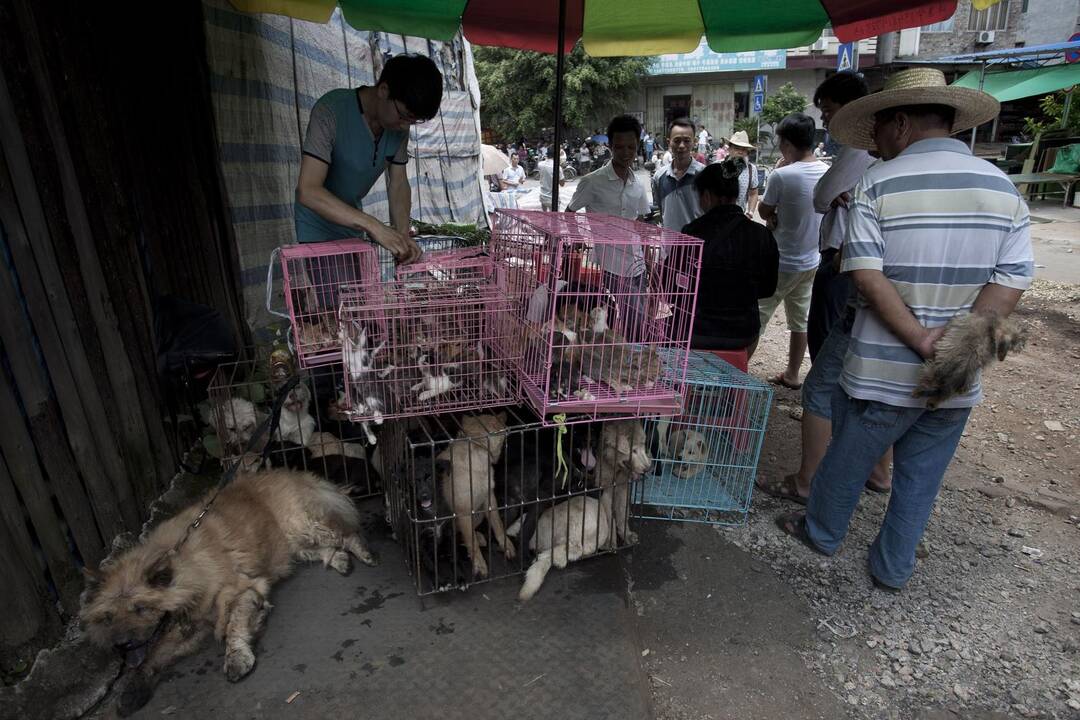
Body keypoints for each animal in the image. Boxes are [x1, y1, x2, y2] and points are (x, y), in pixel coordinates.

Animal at [79, 468, 375, 716]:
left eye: (141, 608)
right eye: (108, 617)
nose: (121, 645)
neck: (185, 568)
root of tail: (299, 475)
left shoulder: (244, 590)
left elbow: (234, 626)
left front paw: (236, 659)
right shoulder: (189, 625)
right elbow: (153, 656)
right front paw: (134, 688)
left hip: (304, 528)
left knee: (345, 534)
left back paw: (363, 552)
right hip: (293, 545)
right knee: (322, 549)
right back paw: (338, 559)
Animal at [434, 410, 514, 578]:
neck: (477, 446)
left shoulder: (489, 499)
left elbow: (498, 525)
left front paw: (506, 545)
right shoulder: (464, 513)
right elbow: (472, 543)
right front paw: (479, 564)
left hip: (478, 515)